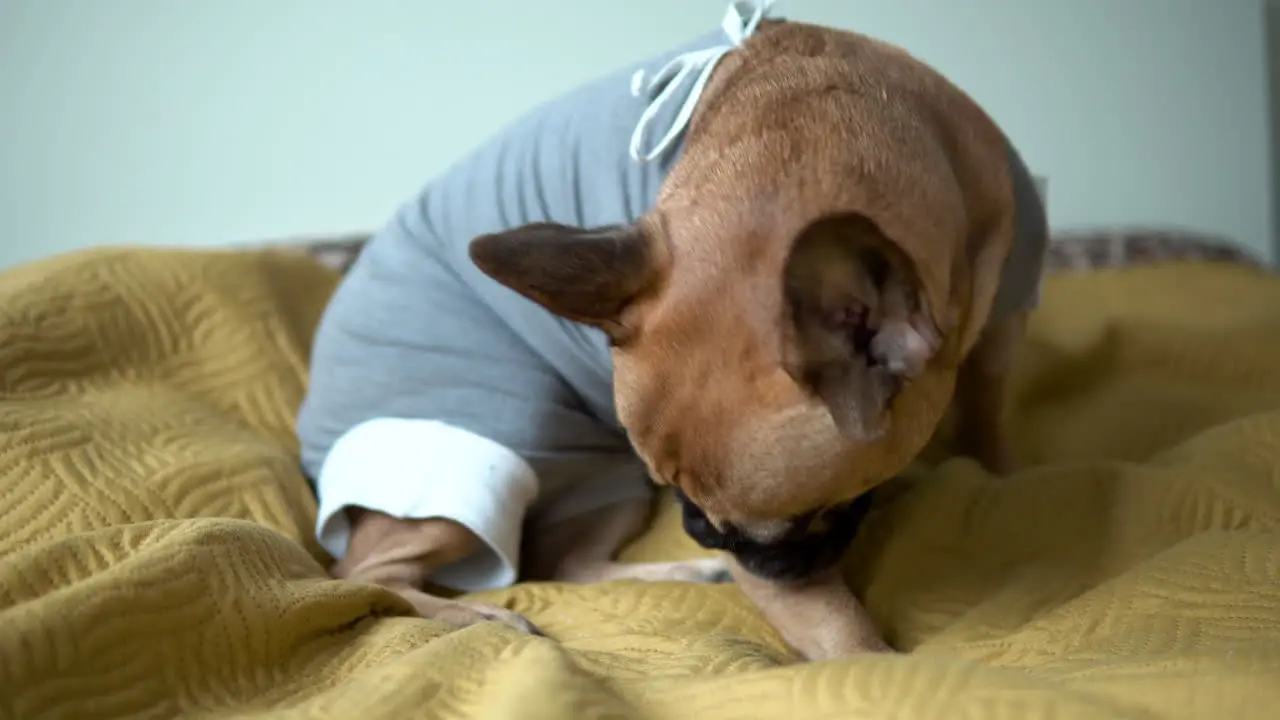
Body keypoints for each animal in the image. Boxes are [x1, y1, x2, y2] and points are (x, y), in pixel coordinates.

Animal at [302, 2, 1049, 661]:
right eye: (731, 525)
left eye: (816, 511)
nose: (696, 528)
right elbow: (842, 634)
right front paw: (878, 664)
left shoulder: (998, 321)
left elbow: (987, 416)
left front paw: (1002, 475)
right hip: (482, 456)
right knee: (361, 576)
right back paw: (479, 615)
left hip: (602, 476)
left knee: (565, 560)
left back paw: (677, 575)